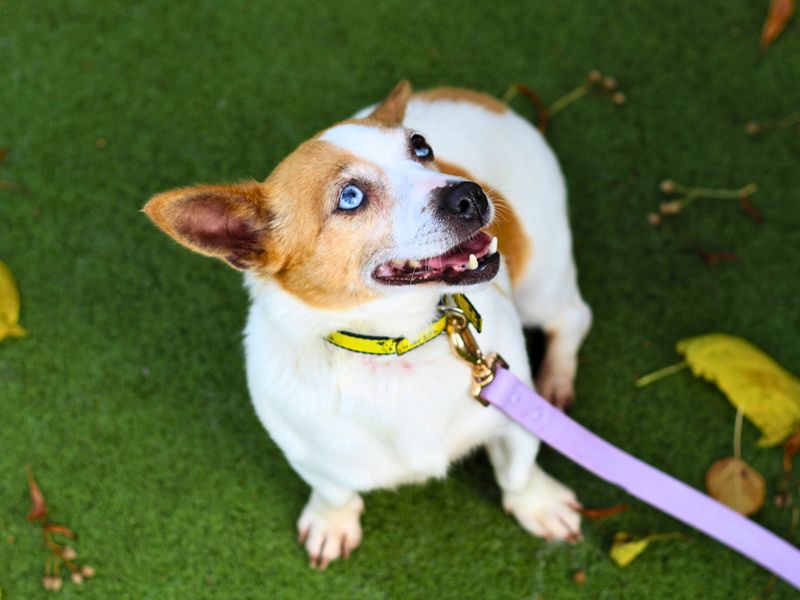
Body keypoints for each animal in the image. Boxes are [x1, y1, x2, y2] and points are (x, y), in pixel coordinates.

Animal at [145, 79, 592, 568]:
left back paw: (556, 378)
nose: (470, 194)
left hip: (540, 283)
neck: (397, 342)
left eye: (421, 148)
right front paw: (332, 522)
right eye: (351, 198)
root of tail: (477, 97)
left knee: (572, 316)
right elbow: (333, 490)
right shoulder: (308, 453)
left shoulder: (513, 415)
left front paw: (538, 504)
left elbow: (518, 471)